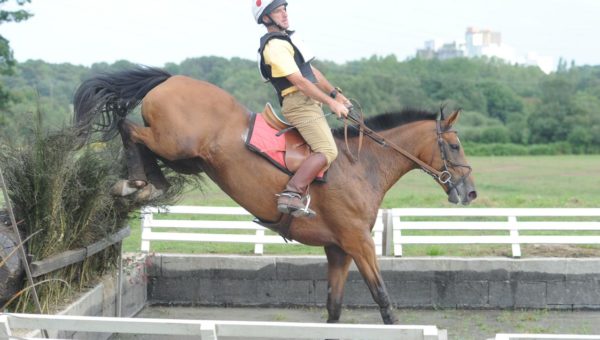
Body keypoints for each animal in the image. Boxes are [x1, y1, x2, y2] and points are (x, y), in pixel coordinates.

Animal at [74, 65, 478, 324]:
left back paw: (145, 184)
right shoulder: (358, 242)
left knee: (138, 138)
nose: (470, 192)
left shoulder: (339, 249)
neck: (362, 163)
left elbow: (334, 308)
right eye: (455, 146)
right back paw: (138, 183)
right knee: (129, 129)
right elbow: (383, 301)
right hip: (176, 143)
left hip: (189, 159)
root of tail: (172, 78)